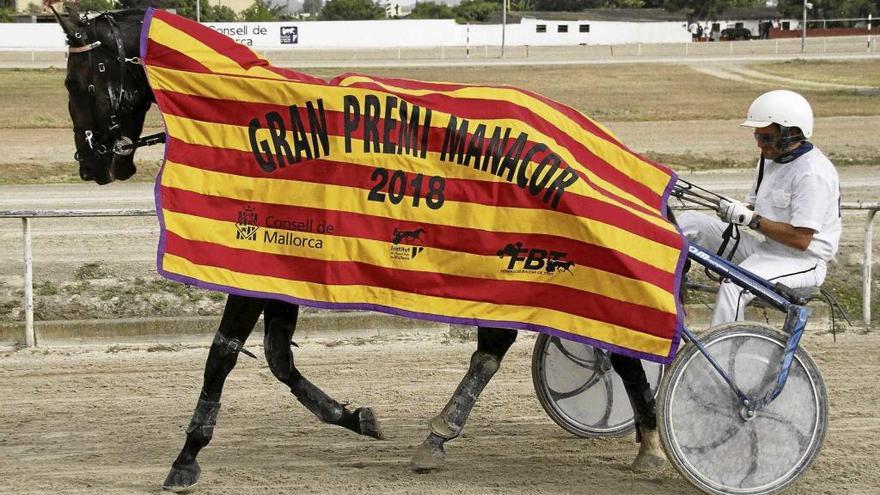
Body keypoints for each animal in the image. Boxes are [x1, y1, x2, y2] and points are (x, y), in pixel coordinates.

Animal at [53, 6, 660, 492]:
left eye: (75, 82)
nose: (91, 166)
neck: (242, 118)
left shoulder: (250, 259)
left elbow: (222, 356)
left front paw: (186, 457)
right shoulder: (285, 261)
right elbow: (278, 358)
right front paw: (355, 417)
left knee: (615, 346)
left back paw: (650, 443)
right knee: (499, 344)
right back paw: (441, 438)